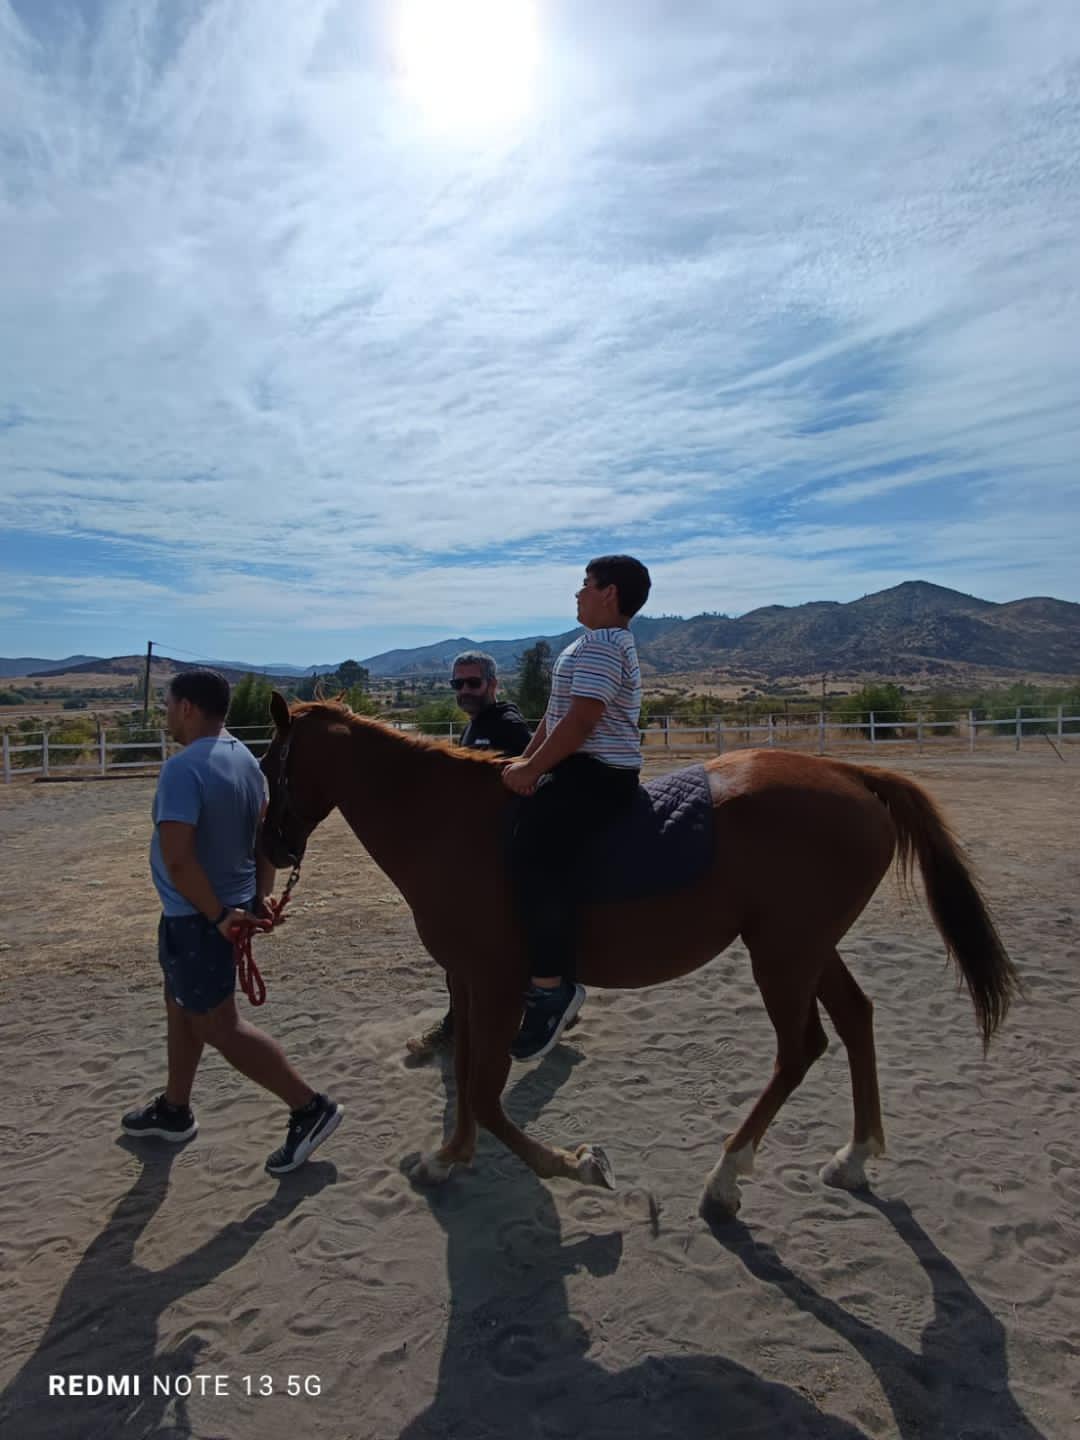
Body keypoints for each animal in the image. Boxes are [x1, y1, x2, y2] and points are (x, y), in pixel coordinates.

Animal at [259, 695, 1018, 1221]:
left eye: (270, 764)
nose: (268, 848)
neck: (454, 825)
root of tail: (850, 773)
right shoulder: (470, 981)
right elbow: (468, 1075)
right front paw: (449, 1159)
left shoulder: (496, 981)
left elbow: (482, 1089)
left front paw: (576, 1164)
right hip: (806, 947)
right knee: (857, 1019)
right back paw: (853, 1157)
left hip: (783, 954)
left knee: (801, 1047)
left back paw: (725, 1179)